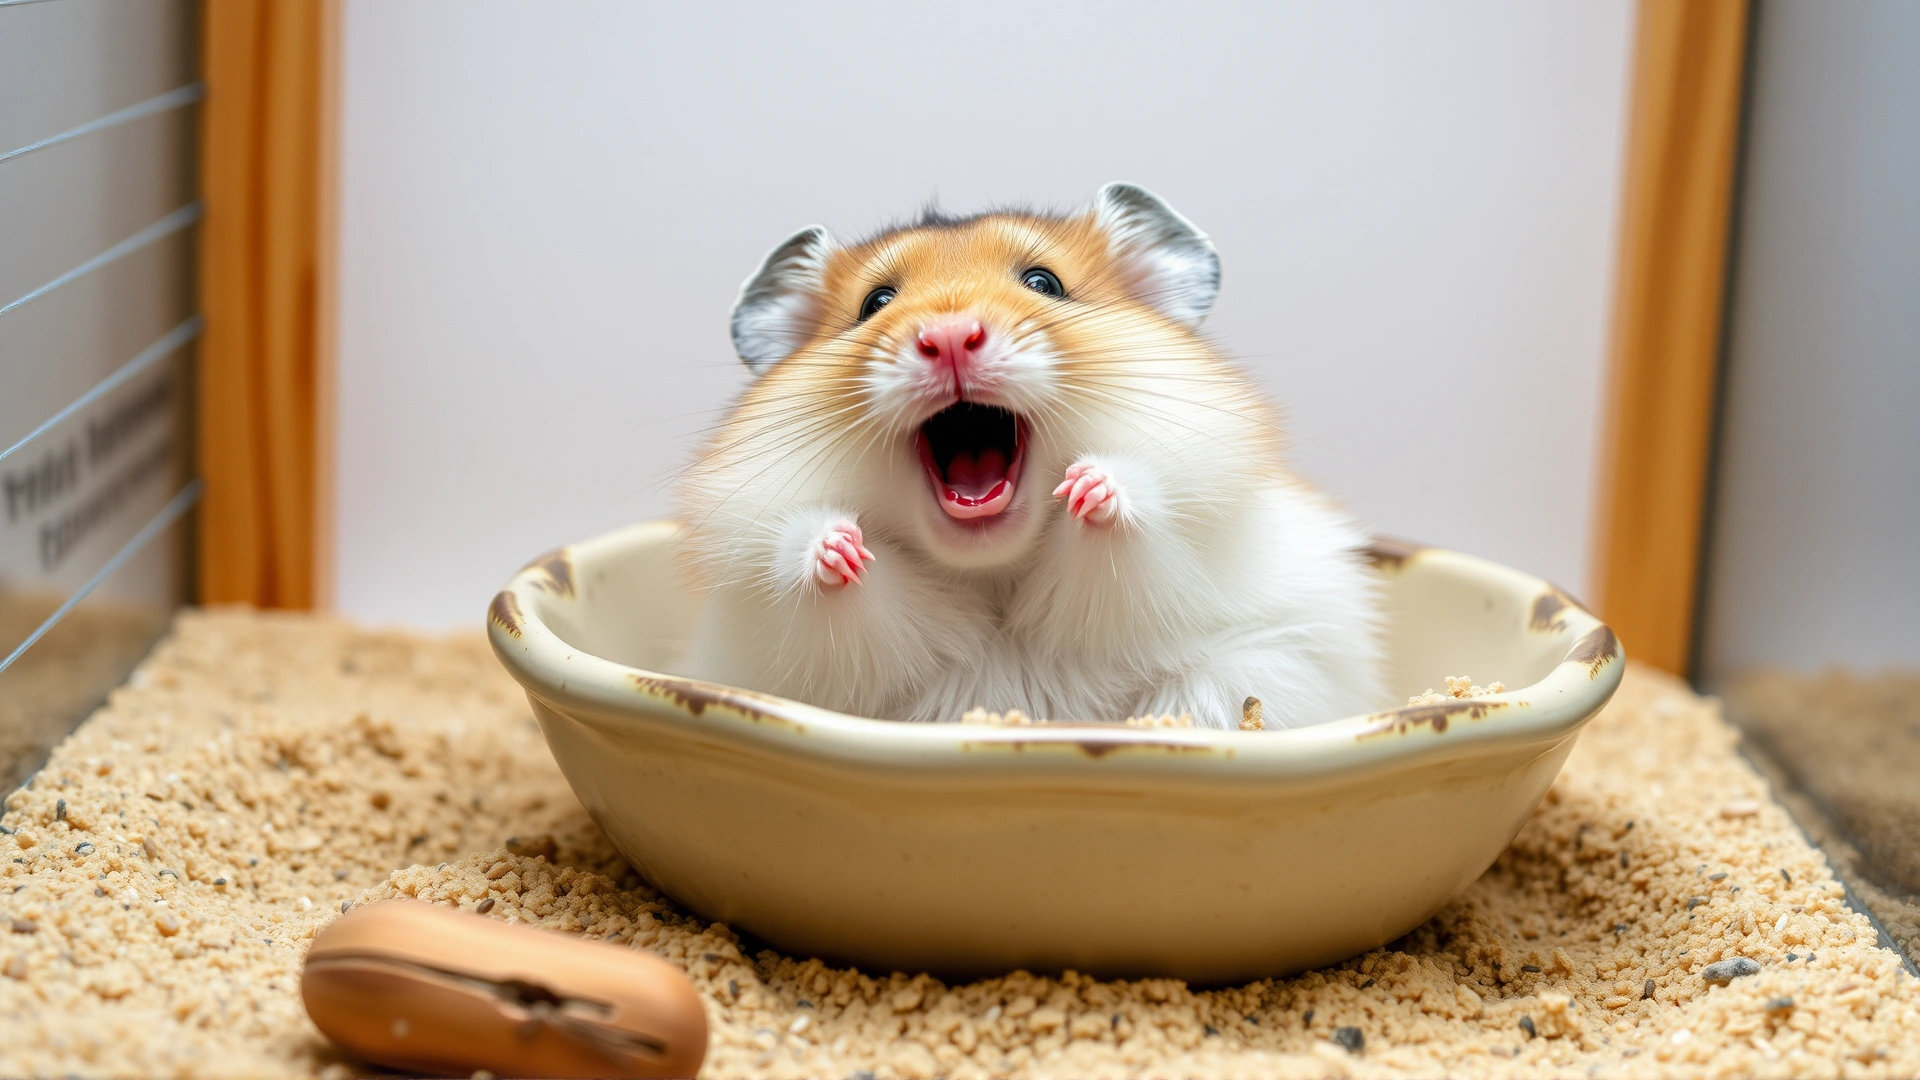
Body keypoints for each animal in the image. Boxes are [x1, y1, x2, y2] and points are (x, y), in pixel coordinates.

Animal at [673, 182, 1383, 730]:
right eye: (874, 303)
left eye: (1045, 282)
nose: (949, 336)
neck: (993, 565)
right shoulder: (796, 616)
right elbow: (837, 593)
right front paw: (839, 546)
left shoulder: (1175, 541)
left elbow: (1132, 538)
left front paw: (1091, 487)